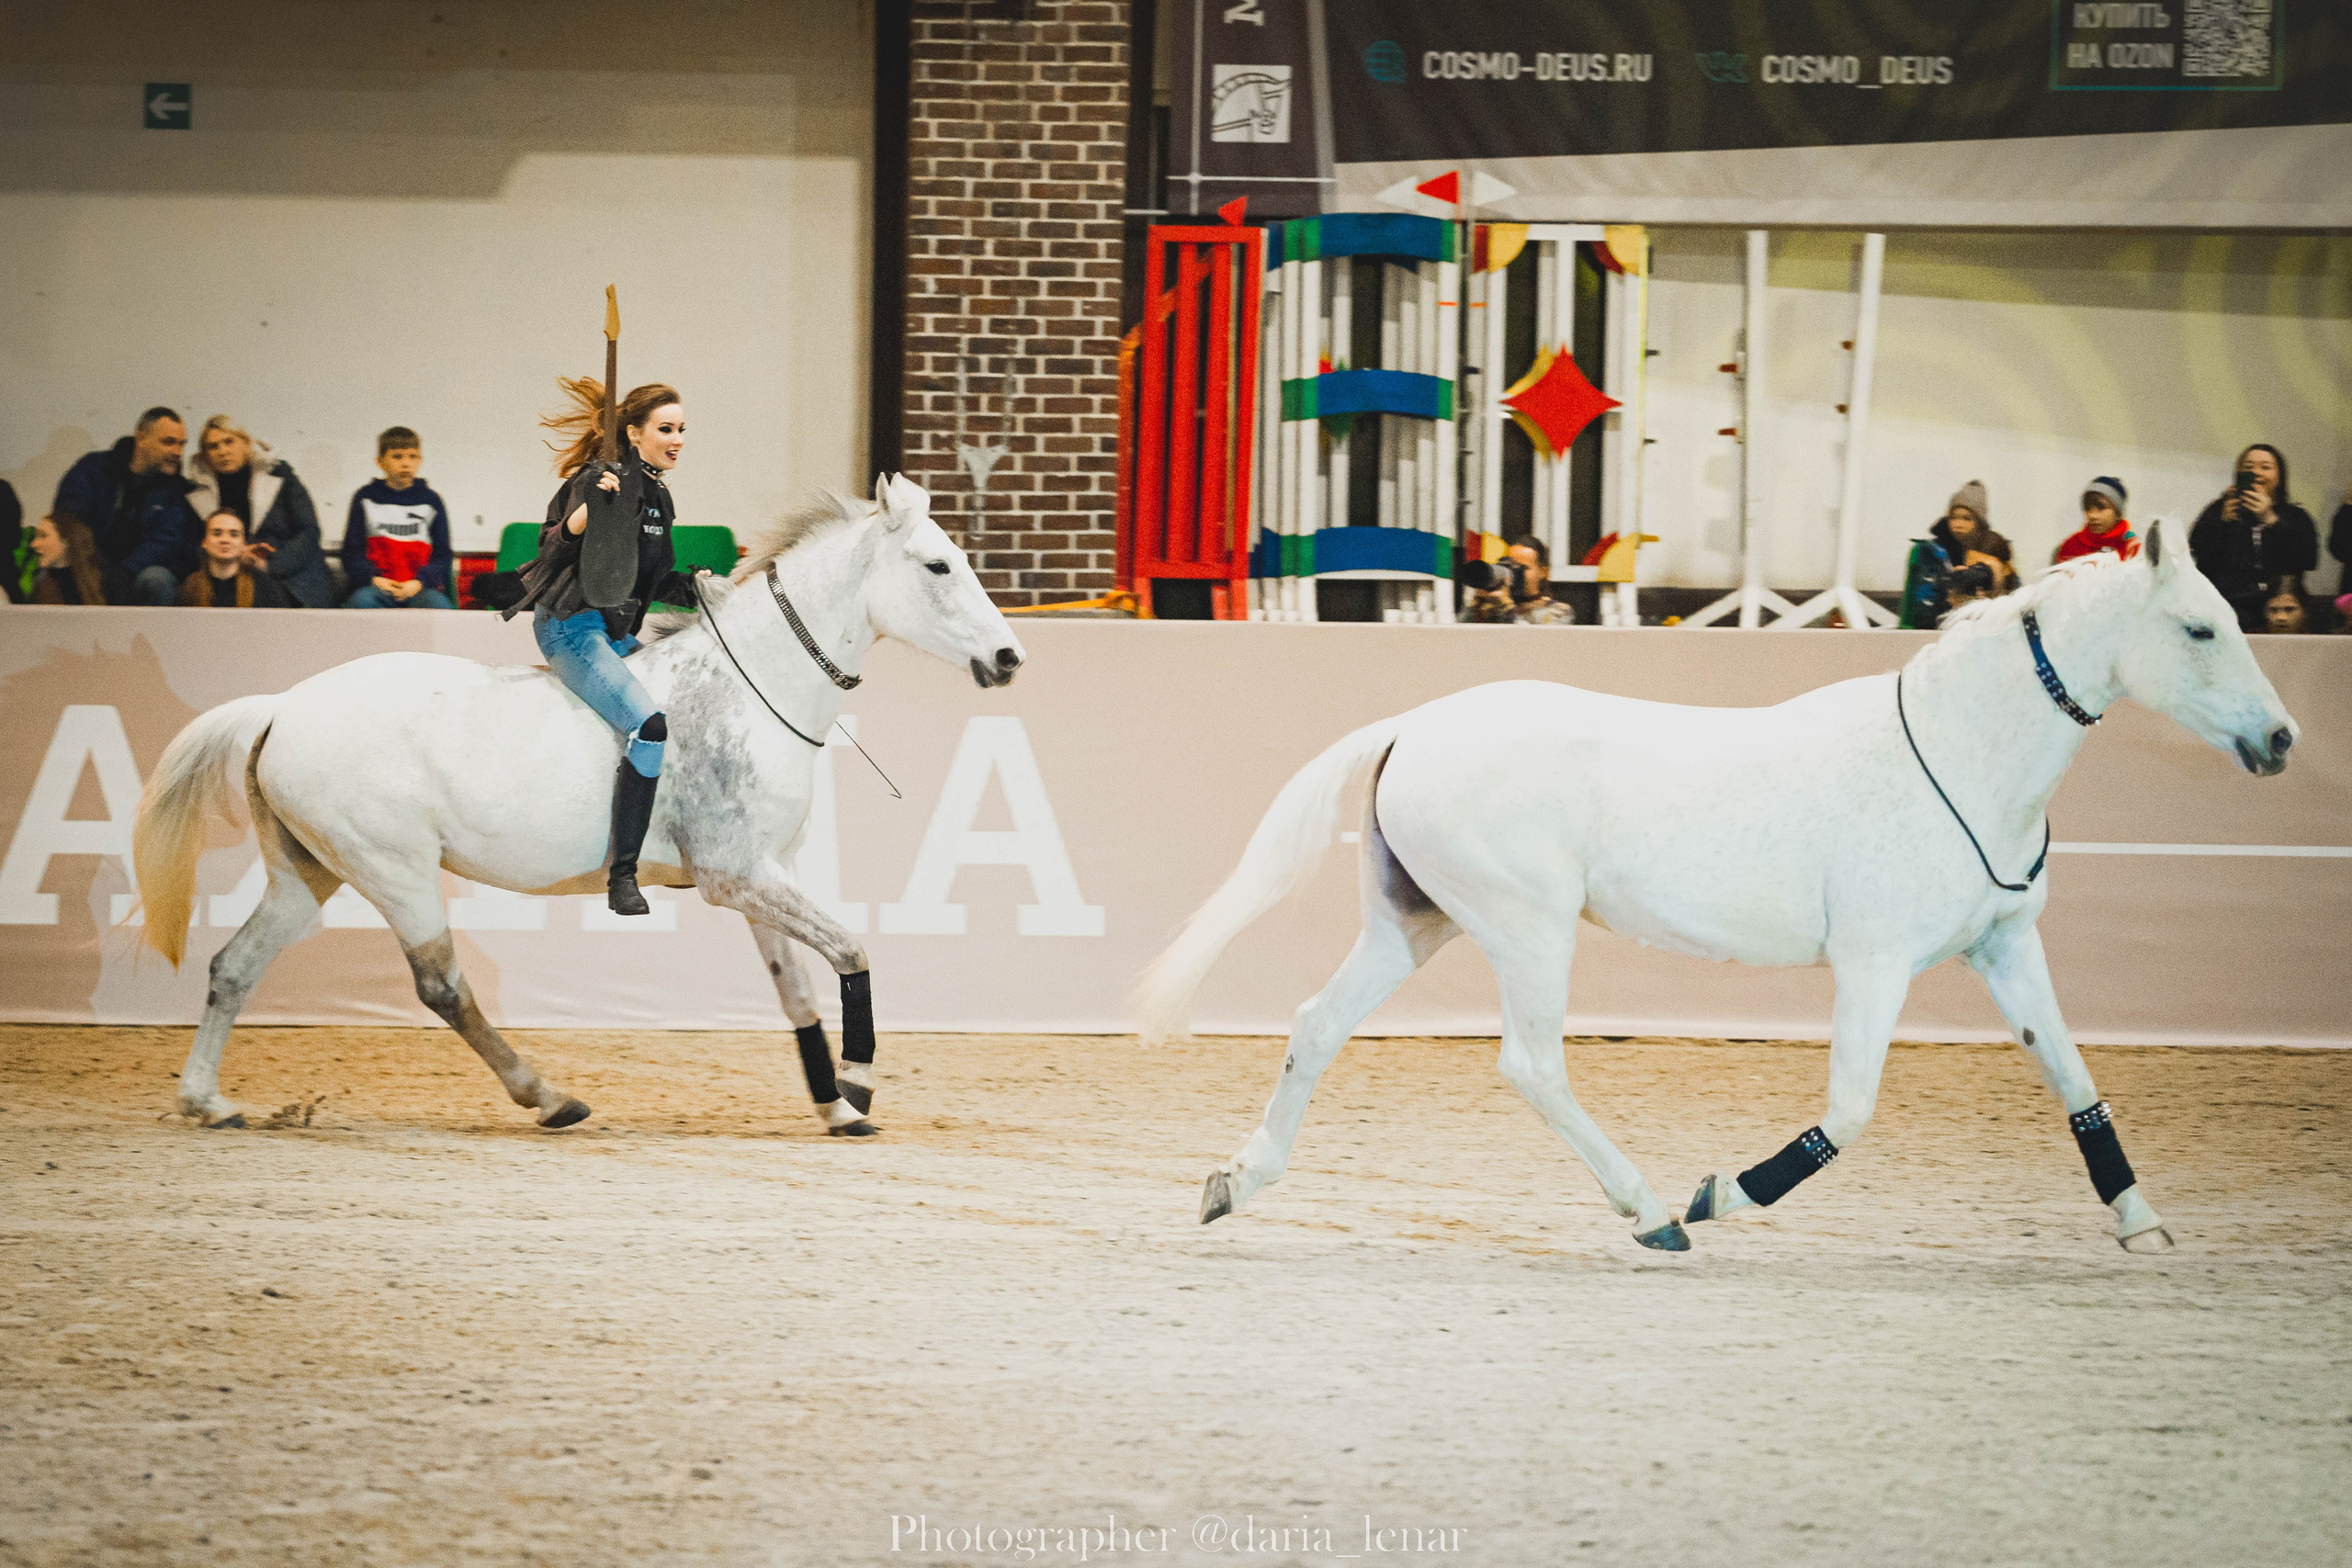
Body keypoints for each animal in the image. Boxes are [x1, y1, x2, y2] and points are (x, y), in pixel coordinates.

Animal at [133, 474, 1023, 1136]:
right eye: (938, 567)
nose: (1010, 656)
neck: (753, 686)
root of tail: (283, 706)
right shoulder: (738, 876)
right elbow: (851, 951)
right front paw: (861, 1083)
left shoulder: (764, 878)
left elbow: (798, 990)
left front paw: (834, 1103)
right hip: (394, 870)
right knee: (441, 987)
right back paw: (549, 1096)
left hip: (307, 872)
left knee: (234, 965)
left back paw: (207, 1101)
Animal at [1139, 514, 2297, 1253]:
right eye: (2199, 628)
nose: (2281, 740)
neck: (1962, 756)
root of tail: (1411, 726)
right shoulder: (1875, 964)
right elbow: (1851, 1110)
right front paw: (1721, 1196)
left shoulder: (2002, 947)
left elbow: (2074, 1078)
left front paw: (2140, 1221)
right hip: (1527, 928)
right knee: (1531, 1064)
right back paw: (1654, 1212)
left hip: (1415, 923)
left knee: (1318, 1025)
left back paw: (1234, 1184)